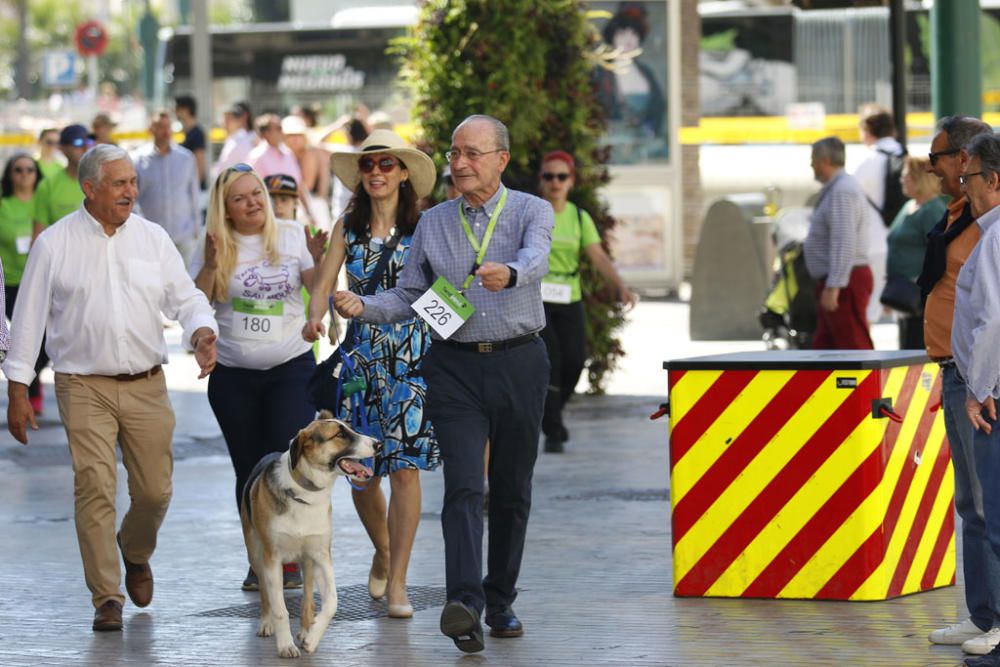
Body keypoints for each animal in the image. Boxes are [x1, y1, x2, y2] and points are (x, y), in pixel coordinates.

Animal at [240, 410, 376, 660]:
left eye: (351, 428)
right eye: (340, 435)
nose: (378, 444)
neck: (305, 492)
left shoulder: (322, 555)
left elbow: (331, 602)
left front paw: (311, 639)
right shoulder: (272, 559)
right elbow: (280, 608)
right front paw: (285, 645)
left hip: (308, 562)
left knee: (307, 599)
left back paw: (305, 630)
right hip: (255, 554)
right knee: (264, 591)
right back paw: (266, 622)